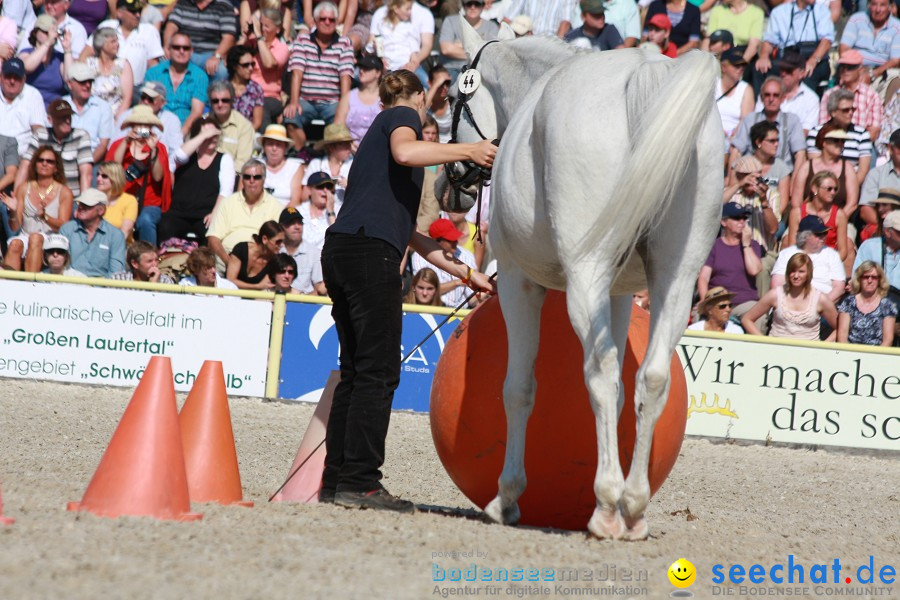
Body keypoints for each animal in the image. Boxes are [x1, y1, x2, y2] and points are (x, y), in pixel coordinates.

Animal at [440, 23, 728, 540]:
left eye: (453, 95)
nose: (449, 184)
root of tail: (643, 72)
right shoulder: (619, 294)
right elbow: (623, 393)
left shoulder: (518, 283)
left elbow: (518, 388)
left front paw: (507, 498)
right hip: (676, 277)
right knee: (650, 376)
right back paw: (633, 506)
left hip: (585, 274)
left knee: (602, 372)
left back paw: (608, 507)